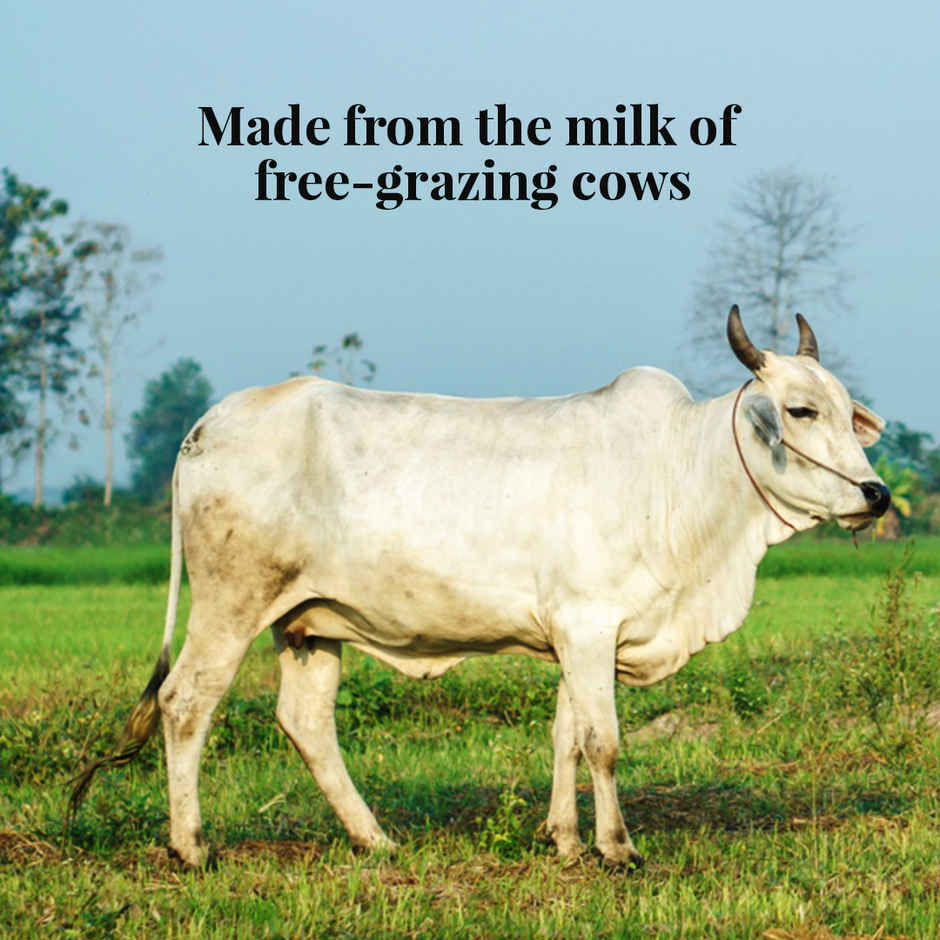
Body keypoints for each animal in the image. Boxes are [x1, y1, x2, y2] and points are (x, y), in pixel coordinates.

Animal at [69, 307, 890, 868]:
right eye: (800, 410)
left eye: (847, 412)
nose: (877, 494)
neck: (680, 476)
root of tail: (204, 426)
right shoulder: (588, 625)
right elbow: (603, 743)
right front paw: (616, 847)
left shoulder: (577, 635)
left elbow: (565, 737)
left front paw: (563, 841)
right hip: (230, 605)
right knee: (186, 703)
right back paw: (191, 846)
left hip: (308, 623)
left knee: (306, 723)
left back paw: (375, 840)